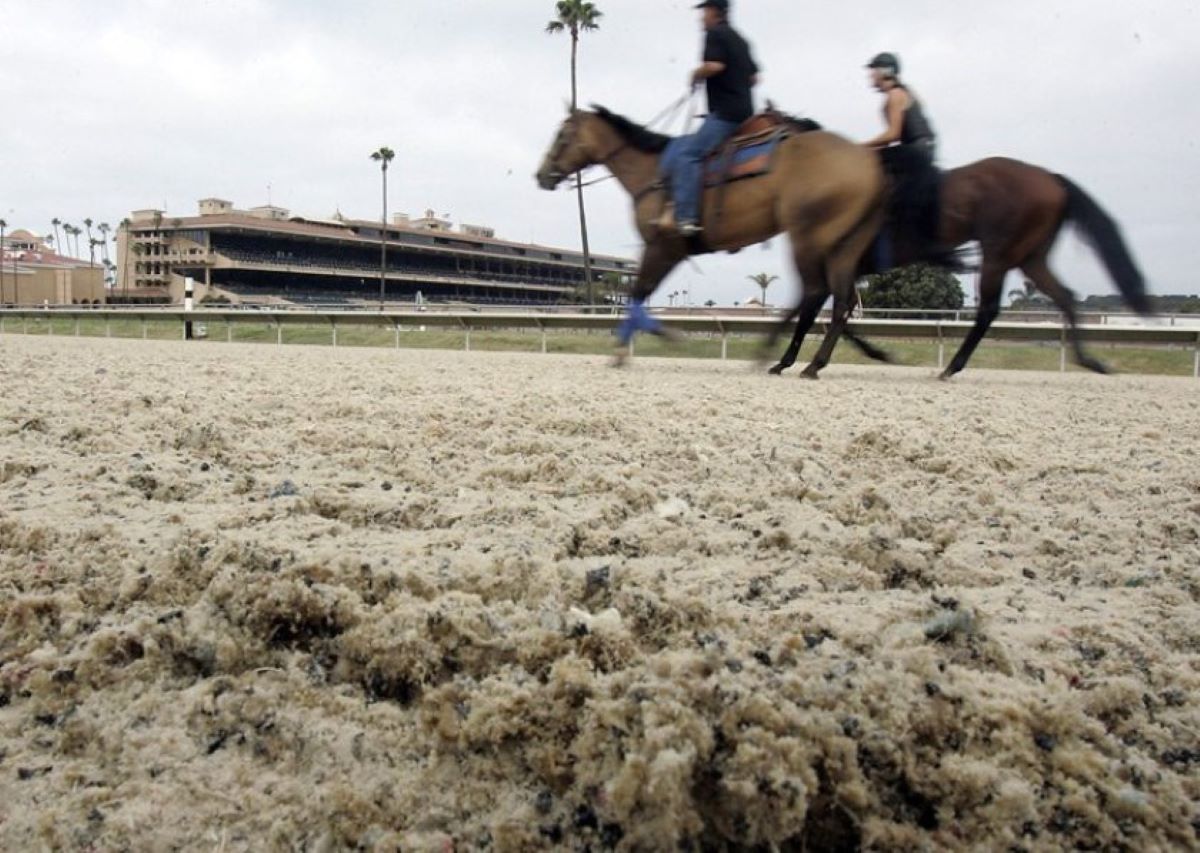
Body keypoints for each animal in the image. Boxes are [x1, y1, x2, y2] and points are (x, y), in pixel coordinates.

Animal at [535, 106, 892, 374]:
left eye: (562, 135)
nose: (541, 175)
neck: (653, 173)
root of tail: (869, 165)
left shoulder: (663, 246)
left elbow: (639, 292)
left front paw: (636, 346)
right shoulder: (667, 249)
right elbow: (639, 294)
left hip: (807, 236)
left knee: (815, 292)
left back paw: (777, 357)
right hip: (844, 243)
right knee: (841, 300)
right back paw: (809, 362)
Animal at [768, 154, 1152, 381]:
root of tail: (1052, 178)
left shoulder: (835, 265)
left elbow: (820, 310)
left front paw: (792, 360)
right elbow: (836, 312)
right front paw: (876, 353)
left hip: (998, 253)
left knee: (988, 309)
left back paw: (951, 367)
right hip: (1031, 255)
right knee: (1066, 297)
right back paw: (1090, 361)